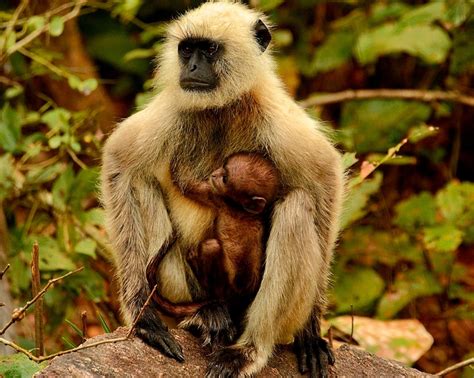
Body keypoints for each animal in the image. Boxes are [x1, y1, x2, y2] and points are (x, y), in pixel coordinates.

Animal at [149, 152, 278, 342]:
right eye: (222, 167)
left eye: (224, 178)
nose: (215, 174)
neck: (241, 210)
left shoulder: (217, 197)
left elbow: (186, 186)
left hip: (221, 285)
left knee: (212, 247)